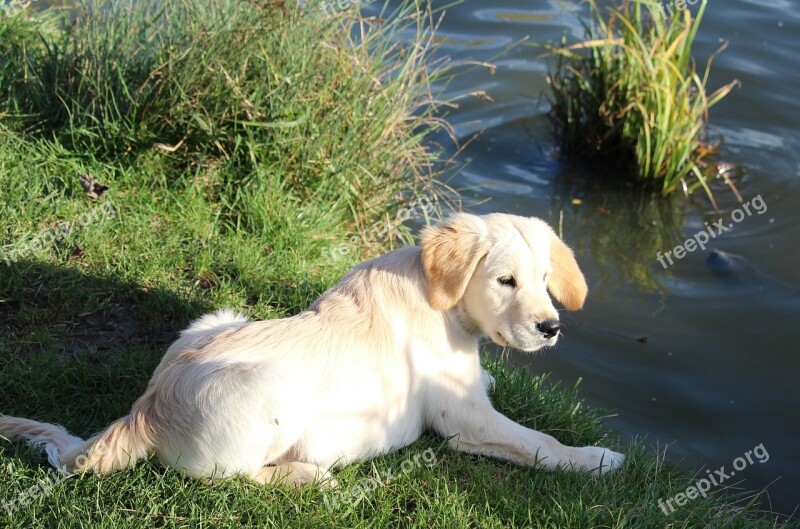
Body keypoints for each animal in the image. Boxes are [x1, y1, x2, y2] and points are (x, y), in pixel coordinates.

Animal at [0, 212, 624, 484]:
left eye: (544, 279)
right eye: (505, 281)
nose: (551, 328)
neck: (443, 302)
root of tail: (145, 409)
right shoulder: (463, 416)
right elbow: (541, 441)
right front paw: (597, 459)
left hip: (216, 318)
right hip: (271, 388)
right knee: (232, 478)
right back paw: (306, 475)